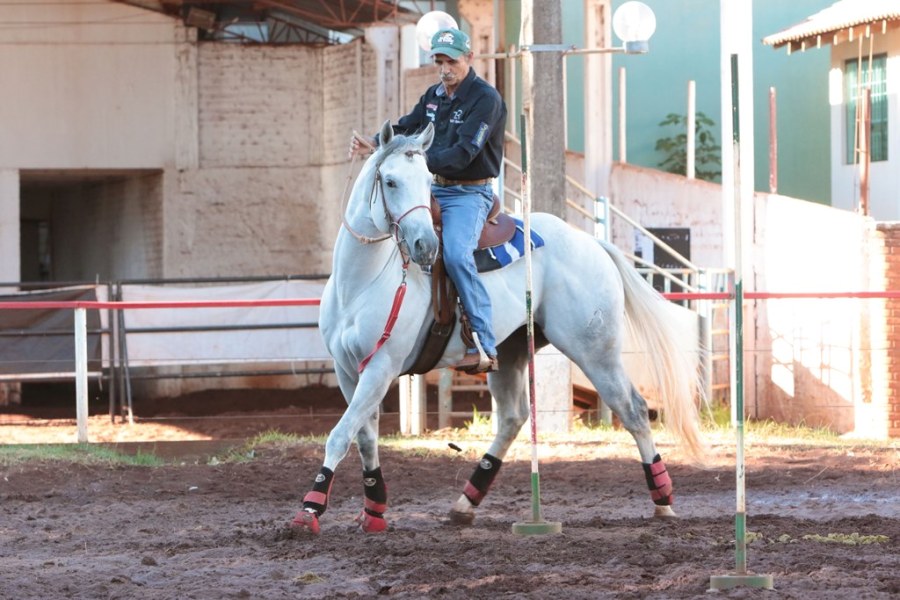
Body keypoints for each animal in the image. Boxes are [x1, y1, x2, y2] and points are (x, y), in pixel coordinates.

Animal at [292, 122, 708, 536]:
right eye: (390, 181)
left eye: (427, 180)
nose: (425, 246)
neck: (361, 281)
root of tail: (590, 241)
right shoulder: (348, 369)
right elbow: (364, 437)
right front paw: (374, 509)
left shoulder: (382, 368)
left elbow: (340, 435)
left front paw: (310, 508)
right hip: (509, 353)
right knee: (512, 417)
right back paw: (465, 503)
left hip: (595, 351)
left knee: (632, 409)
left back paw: (663, 500)